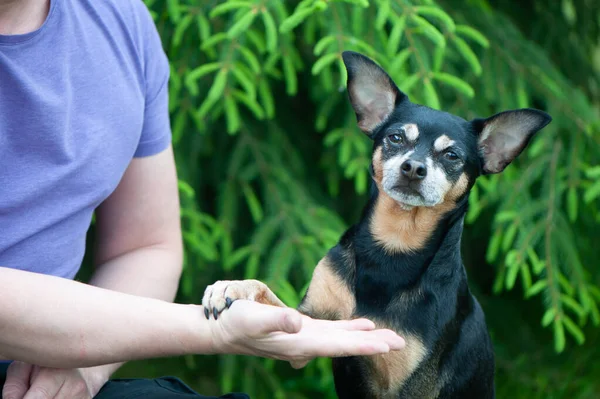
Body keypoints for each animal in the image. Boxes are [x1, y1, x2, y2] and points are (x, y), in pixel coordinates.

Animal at [203, 51, 552, 398]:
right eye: (395, 138)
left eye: (452, 155)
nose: (414, 168)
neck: (394, 245)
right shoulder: (309, 323)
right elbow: (265, 291)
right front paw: (232, 287)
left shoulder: (411, 385)